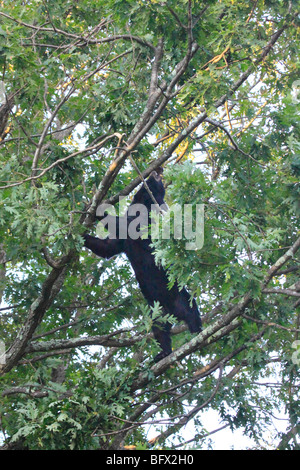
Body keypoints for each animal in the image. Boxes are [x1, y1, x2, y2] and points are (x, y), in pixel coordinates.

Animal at [83, 169, 203, 364]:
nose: (157, 170)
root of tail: (172, 310)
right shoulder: (122, 242)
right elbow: (108, 247)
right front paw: (83, 235)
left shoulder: (147, 220)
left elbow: (126, 225)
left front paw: (98, 207)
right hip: (157, 310)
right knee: (159, 328)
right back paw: (164, 352)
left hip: (179, 296)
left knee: (191, 310)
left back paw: (198, 333)